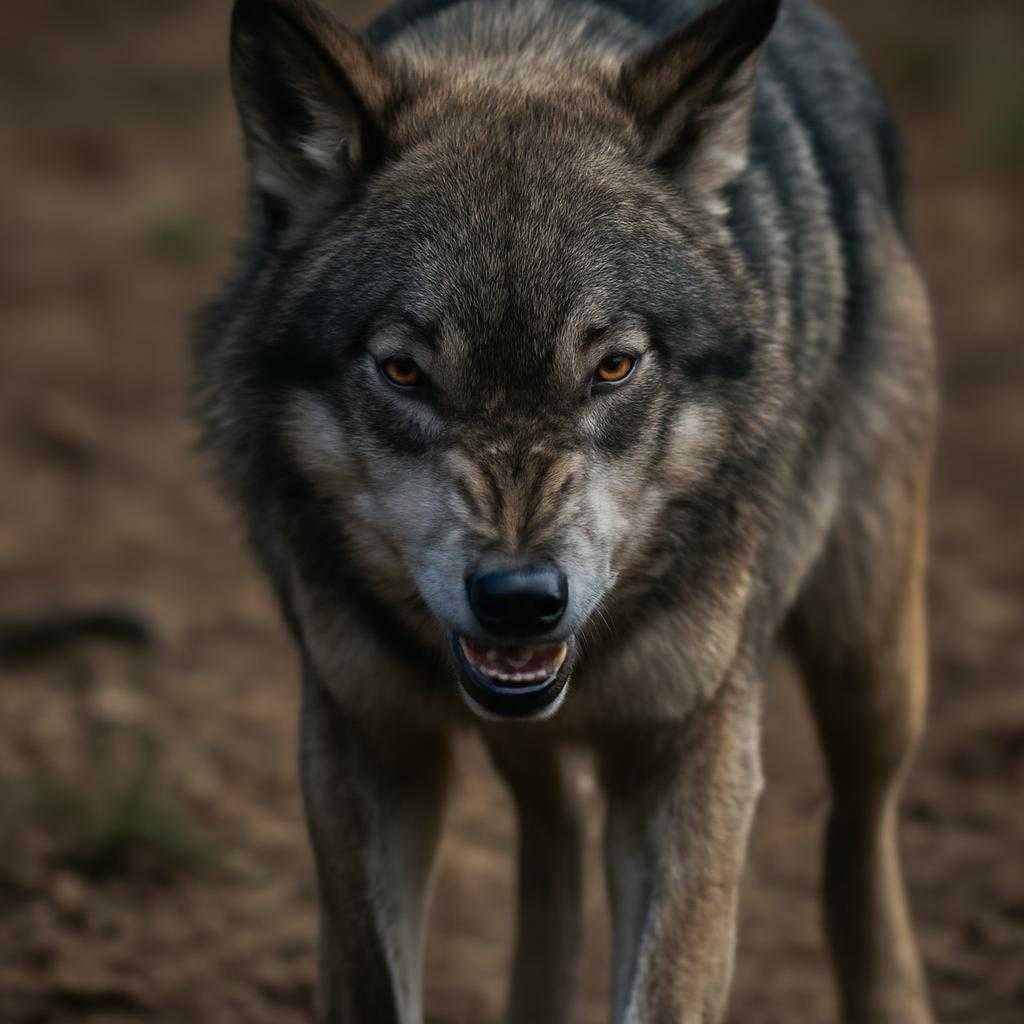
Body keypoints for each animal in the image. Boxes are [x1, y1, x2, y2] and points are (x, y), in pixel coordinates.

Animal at [193, 0, 937, 1019]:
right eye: (404, 372)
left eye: (614, 367)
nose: (519, 598)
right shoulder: (362, 734)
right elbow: (377, 979)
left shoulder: (693, 744)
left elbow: (668, 988)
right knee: (557, 828)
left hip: (868, 661)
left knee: (862, 824)